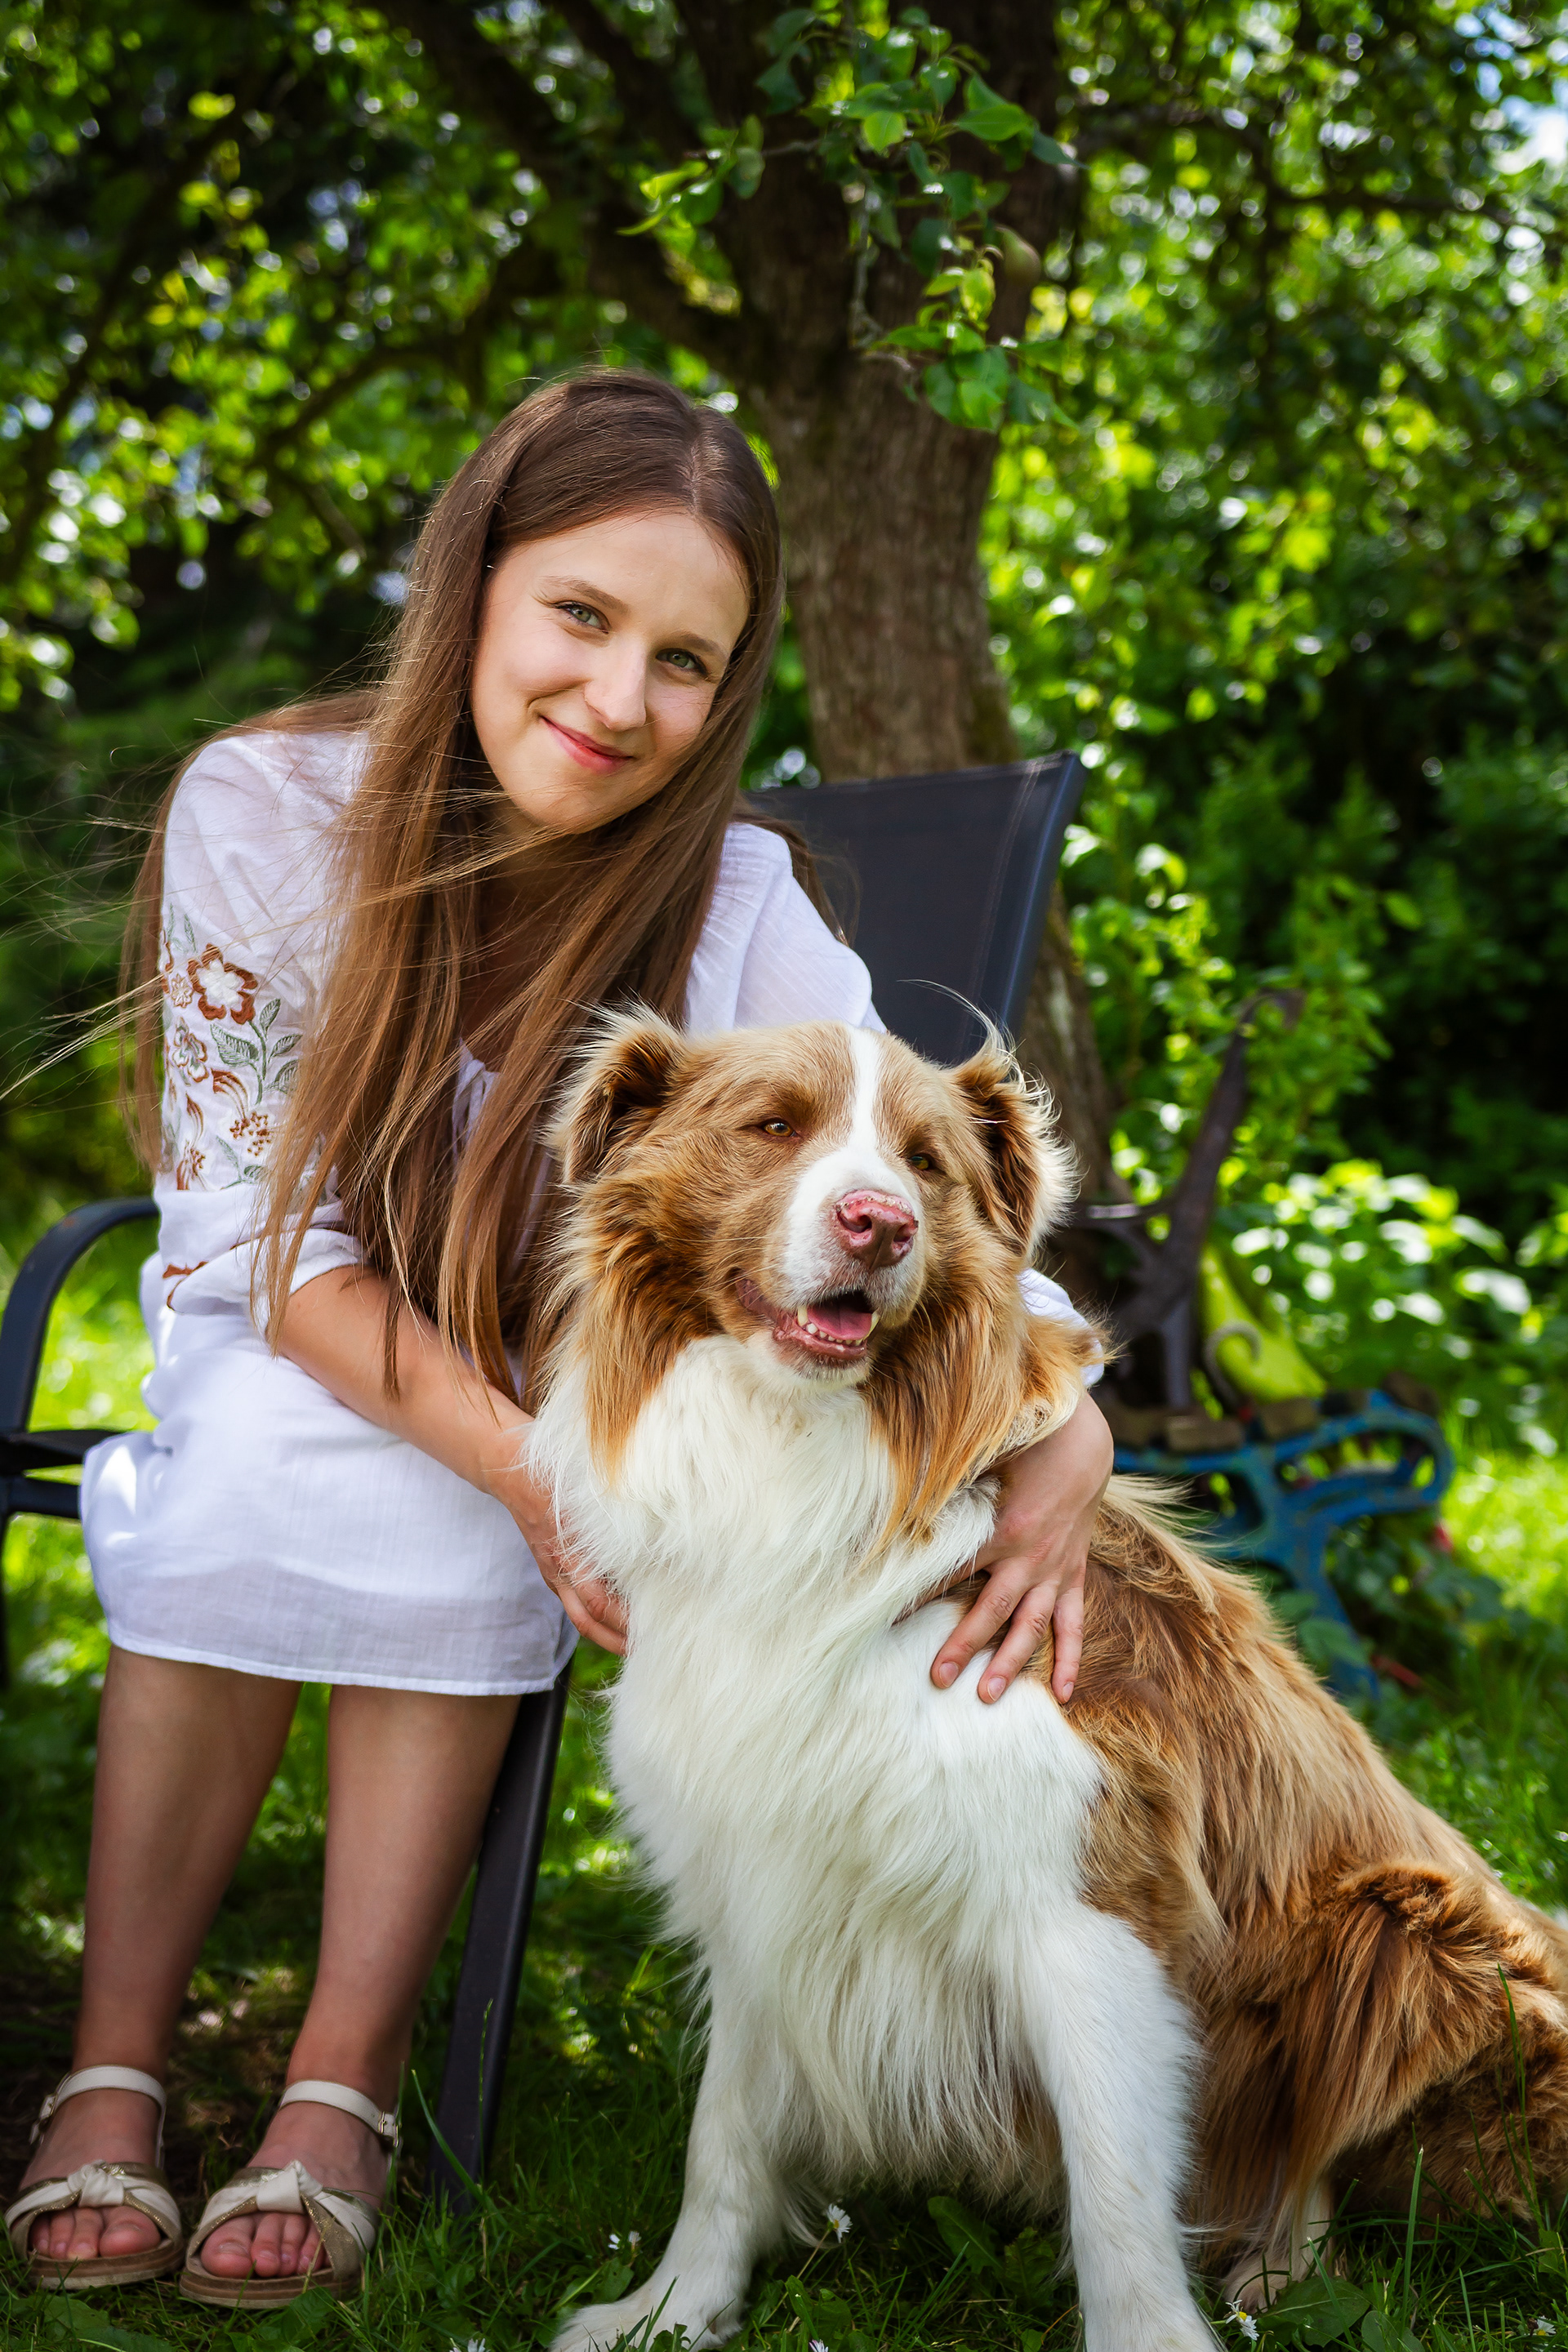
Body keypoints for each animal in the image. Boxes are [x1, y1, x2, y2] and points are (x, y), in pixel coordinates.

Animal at [529, 1013, 1568, 2352]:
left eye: (924, 1163)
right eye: (773, 1125)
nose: (880, 1224)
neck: (803, 1466)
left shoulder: (1089, 1906)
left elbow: (1118, 2195)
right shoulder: (765, 1874)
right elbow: (726, 2139)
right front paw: (671, 2313)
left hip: (1405, 1930)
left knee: (1319, 2159)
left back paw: (1280, 2274)